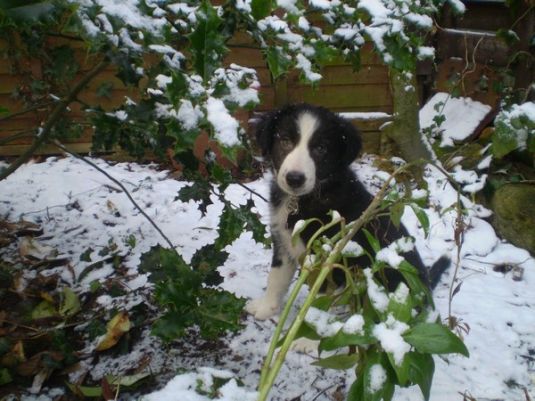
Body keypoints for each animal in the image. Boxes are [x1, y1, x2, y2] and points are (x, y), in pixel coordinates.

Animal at [247, 102, 448, 318]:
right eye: (285, 141)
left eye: (321, 148)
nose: (294, 178)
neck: (302, 199)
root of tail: (426, 288)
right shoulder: (283, 240)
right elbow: (276, 276)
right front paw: (266, 307)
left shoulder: (326, 259)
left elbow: (316, 305)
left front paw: (303, 328)